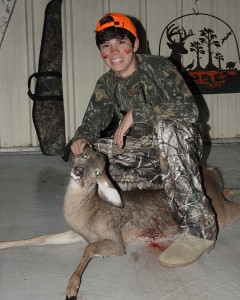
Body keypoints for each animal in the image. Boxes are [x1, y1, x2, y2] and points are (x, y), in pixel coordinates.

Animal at [0, 146, 240, 298]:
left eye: (98, 173)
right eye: (83, 155)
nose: (78, 172)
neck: (88, 215)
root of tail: (208, 172)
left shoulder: (115, 238)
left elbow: (90, 248)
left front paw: (72, 288)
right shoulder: (76, 232)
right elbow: (41, 237)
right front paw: (3, 244)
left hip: (220, 212)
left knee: (233, 207)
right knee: (227, 190)